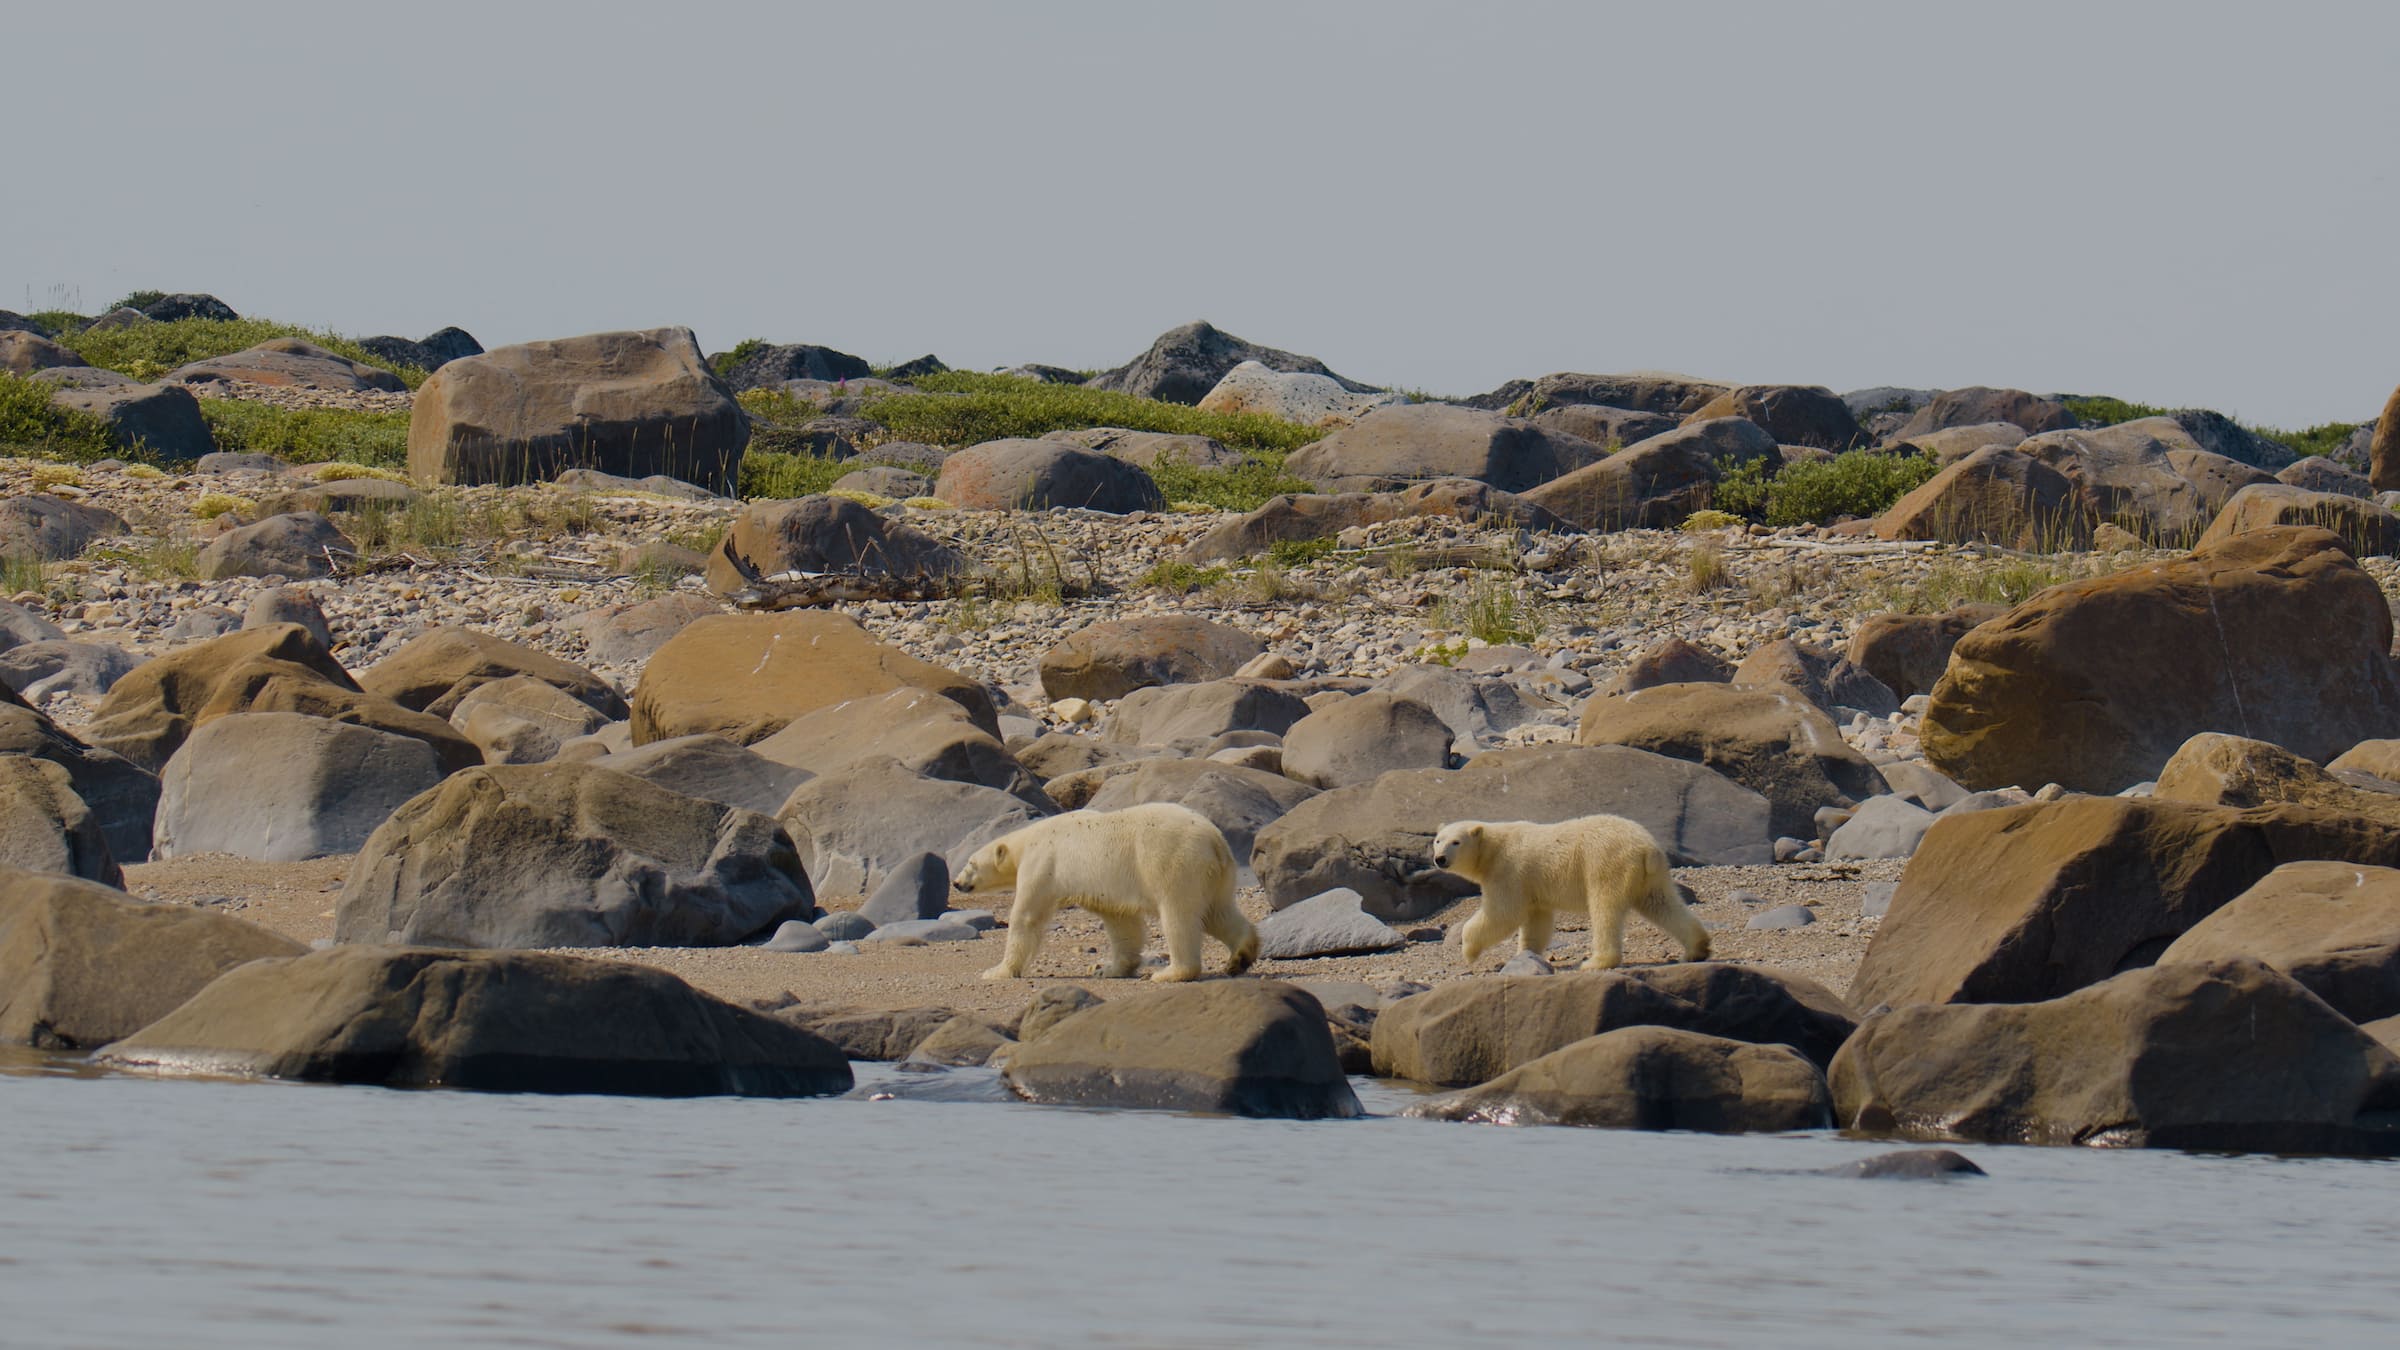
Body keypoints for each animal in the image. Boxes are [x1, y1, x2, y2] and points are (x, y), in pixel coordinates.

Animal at [955, 802, 1261, 983]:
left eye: (971, 863)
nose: (957, 883)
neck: (1027, 840)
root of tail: (1215, 841)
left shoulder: (1042, 864)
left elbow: (1027, 916)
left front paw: (996, 971)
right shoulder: (1107, 890)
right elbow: (1122, 923)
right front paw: (1110, 969)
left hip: (1173, 862)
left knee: (1179, 915)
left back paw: (1170, 973)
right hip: (1216, 875)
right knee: (1217, 913)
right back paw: (1240, 957)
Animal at [1431, 814, 1711, 971]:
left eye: (1456, 841)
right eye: (1437, 839)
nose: (1440, 859)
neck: (1492, 847)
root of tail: (1647, 848)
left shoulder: (1508, 871)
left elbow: (1503, 913)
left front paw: (1469, 951)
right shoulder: (1531, 886)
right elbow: (1536, 921)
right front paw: (1525, 956)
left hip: (1606, 862)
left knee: (1605, 910)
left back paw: (1596, 961)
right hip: (1651, 876)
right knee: (1662, 904)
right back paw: (1697, 948)